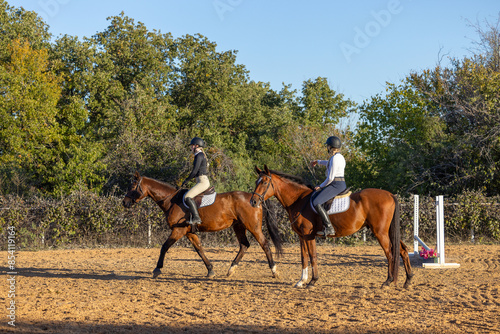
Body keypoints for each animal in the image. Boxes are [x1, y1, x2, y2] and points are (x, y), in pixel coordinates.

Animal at [123, 171, 284, 278]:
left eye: (132, 186)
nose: (124, 203)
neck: (172, 200)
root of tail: (256, 198)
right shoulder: (189, 232)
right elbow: (199, 249)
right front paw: (210, 270)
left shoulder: (178, 231)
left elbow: (164, 247)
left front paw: (157, 270)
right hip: (238, 226)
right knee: (244, 245)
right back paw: (231, 269)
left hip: (253, 226)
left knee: (264, 244)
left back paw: (274, 271)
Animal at [250, 166, 414, 288]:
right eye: (256, 181)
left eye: (264, 182)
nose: (253, 202)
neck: (298, 200)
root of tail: (390, 195)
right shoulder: (302, 236)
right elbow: (304, 257)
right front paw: (301, 281)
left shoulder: (309, 235)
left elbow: (313, 256)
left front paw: (313, 281)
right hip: (387, 231)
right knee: (402, 250)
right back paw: (408, 280)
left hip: (380, 232)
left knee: (390, 253)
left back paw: (388, 281)